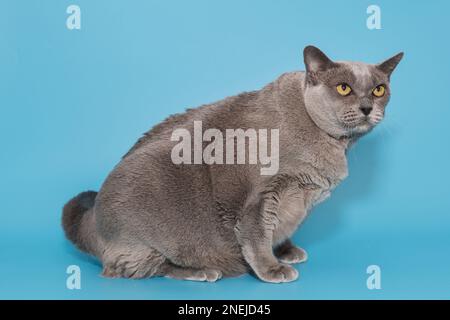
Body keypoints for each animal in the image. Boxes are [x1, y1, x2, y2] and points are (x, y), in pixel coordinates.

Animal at [61, 45, 402, 282]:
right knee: (142, 269)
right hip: (144, 232)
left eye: (379, 89)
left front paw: (287, 251)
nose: (367, 106)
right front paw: (272, 269)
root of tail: (92, 219)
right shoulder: (261, 196)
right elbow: (257, 234)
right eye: (343, 87)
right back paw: (203, 271)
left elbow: (281, 228)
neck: (332, 143)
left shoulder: (297, 201)